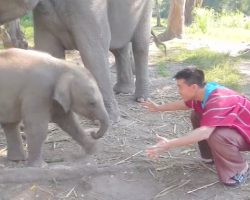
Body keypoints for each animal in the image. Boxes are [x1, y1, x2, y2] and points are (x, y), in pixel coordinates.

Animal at [0, 0, 152, 122]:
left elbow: (92, 50)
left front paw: (107, 120)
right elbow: (49, 49)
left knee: (140, 44)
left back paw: (141, 98)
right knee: (119, 48)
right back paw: (122, 90)